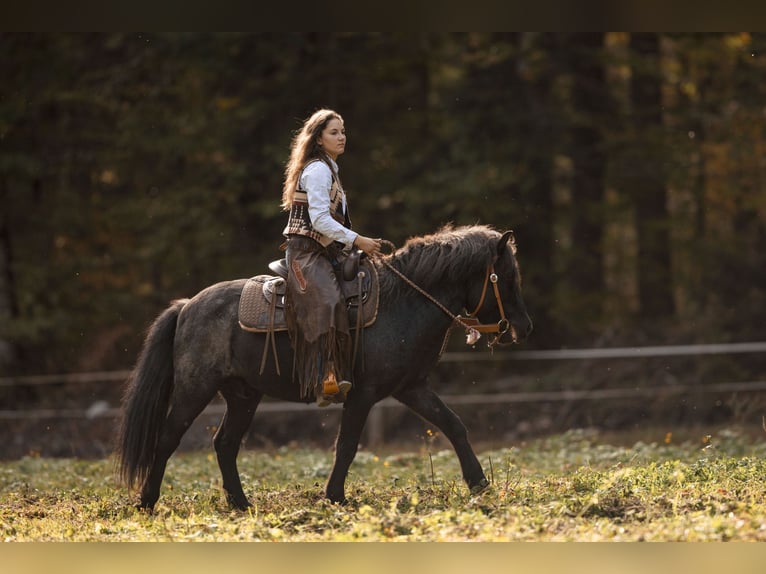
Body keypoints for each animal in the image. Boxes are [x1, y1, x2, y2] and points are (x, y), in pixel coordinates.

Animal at [116, 224, 533, 511]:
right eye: (506, 278)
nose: (524, 327)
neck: (402, 302)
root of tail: (187, 305)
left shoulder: (412, 387)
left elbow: (454, 425)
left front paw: (479, 483)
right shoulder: (363, 394)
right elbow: (346, 445)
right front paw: (334, 496)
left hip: (243, 395)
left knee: (225, 444)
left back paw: (241, 503)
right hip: (194, 389)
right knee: (168, 437)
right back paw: (146, 501)